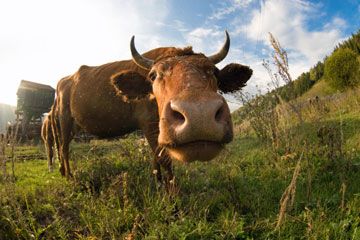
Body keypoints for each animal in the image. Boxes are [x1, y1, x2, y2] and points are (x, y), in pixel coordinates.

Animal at [54, 31, 252, 186]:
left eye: (213, 71)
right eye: (154, 75)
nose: (199, 114)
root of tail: (65, 80)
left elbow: (156, 158)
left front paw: (157, 183)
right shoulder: (149, 124)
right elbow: (164, 160)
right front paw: (172, 198)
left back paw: (63, 172)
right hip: (64, 119)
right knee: (63, 148)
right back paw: (69, 177)